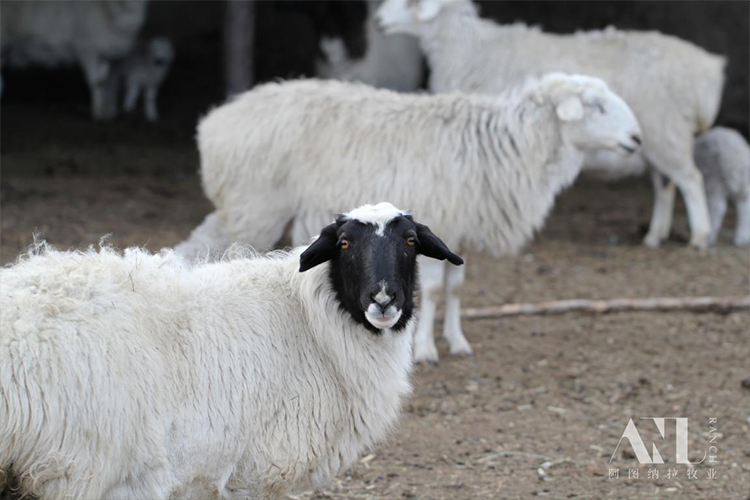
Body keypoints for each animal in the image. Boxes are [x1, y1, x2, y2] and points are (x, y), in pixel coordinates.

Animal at [0, 0, 148, 120]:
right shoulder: (87, 48)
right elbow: (96, 82)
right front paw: (99, 113)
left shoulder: (106, 55)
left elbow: (106, 82)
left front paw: (106, 112)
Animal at [0, 203, 468, 500]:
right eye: (345, 244)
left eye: (411, 240)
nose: (384, 299)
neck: (308, 318)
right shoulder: (259, 469)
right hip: (73, 466)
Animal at [176, 73, 640, 364]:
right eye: (595, 105)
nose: (637, 139)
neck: (509, 145)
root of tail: (214, 123)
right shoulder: (438, 219)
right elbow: (433, 290)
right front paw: (426, 350)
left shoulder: (456, 233)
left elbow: (456, 288)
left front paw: (457, 341)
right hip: (255, 206)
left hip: (241, 205)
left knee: (197, 247)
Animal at [376, 0, 728, 250]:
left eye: (411, 2)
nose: (378, 20)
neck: (465, 49)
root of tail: (707, 70)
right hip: (659, 139)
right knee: (665, 184)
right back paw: (655, 235)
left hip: (664, 132)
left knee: (690, 179)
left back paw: (699, 236)